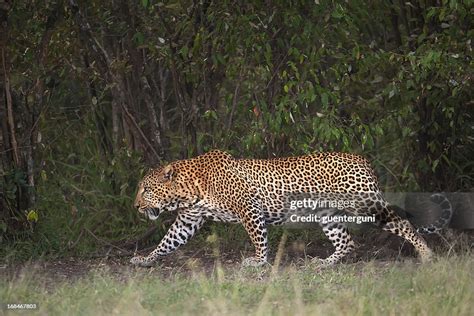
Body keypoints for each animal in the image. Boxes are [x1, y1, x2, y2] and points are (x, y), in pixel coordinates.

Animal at [129, 150, 452, 266]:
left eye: (146, 189)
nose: (136, 206)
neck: (188, 189)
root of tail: (362, 159)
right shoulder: (189, 219)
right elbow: (168, 241)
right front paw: (145, 259)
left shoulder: (248, 208)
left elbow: (258, 237)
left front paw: (258, 261)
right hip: (327, 214)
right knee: (346, 241)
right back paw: (325, 263)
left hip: (366, 202)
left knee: (403, 224)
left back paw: (427, 255)